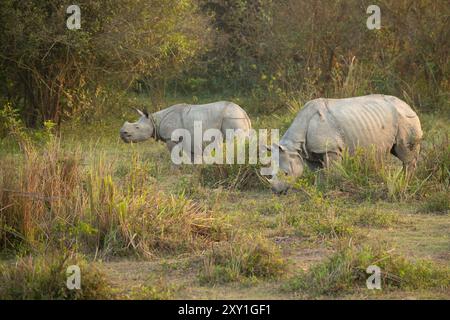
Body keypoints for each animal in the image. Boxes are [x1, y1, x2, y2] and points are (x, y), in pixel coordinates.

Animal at [119, 100, 251, 159]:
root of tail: (244, 112)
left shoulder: (171, 137)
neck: (154, 120)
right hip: (235, 117)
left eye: (137, 127)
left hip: (232, 117)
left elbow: (174, 155)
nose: (122, 134)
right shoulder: (189, 138)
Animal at [270, 94, 422, 191]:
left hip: (405, 118)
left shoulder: (332, 149)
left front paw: (332, 188)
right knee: (396, 150)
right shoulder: (309, 152)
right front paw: (319, 188)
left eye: (286, 173)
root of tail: (408, 105)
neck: (294, 146)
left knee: (405, 152)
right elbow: (318, 172)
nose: (277, 191)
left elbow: (333, 171)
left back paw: (406, 183)